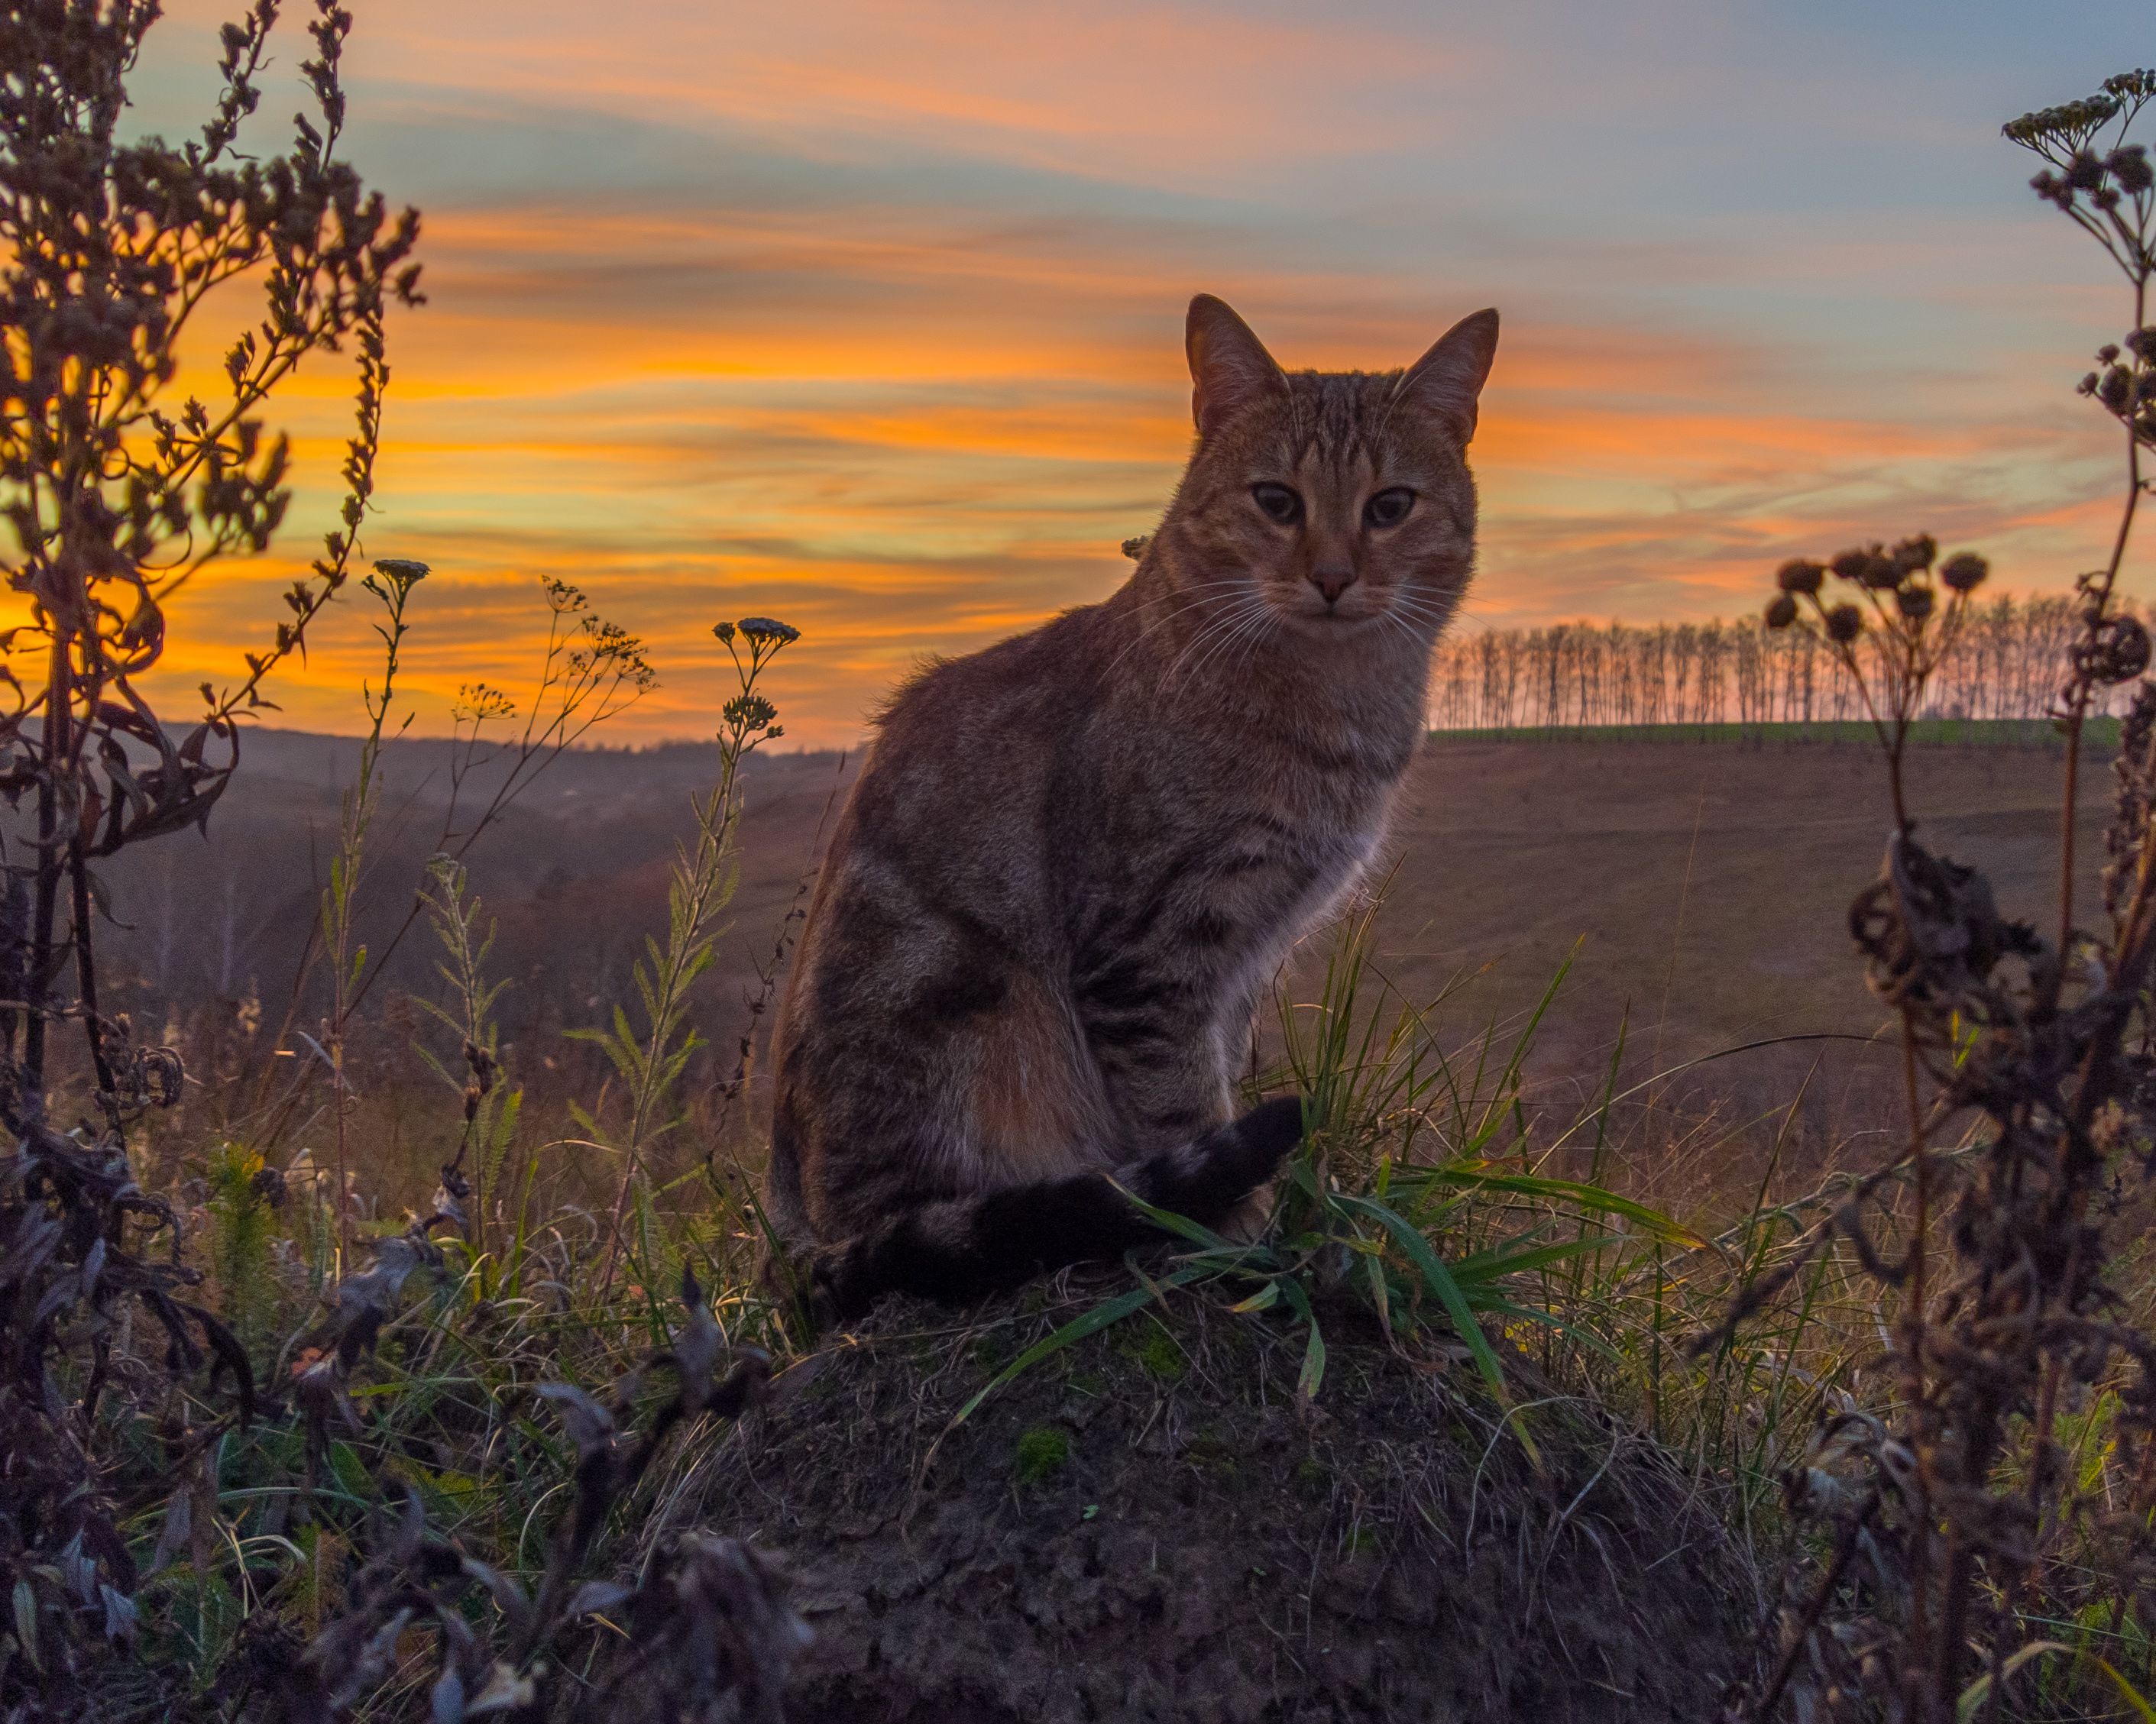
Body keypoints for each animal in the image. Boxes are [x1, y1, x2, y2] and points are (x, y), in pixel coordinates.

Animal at [762, 293, 1500, 1318]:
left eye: (1389, 506)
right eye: (1276, 500)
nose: (1331, 575)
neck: (1329, 706)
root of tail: (793, 1225)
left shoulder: (1239, 960)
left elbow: (1214, 1081)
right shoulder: (1149, 950)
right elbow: (1181, 1112)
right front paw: (1240, 1245)